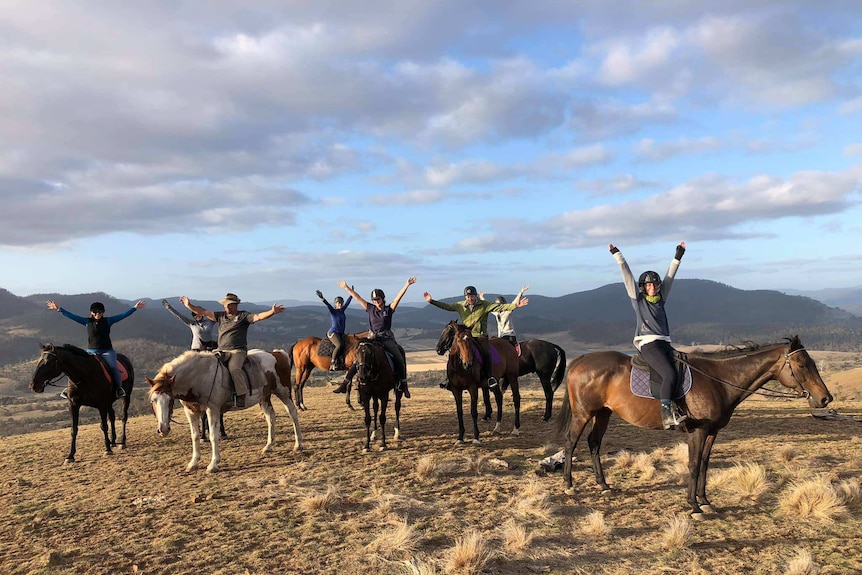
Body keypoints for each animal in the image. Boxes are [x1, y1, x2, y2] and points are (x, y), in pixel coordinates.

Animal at [143, 348, 302, 474]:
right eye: (153, 401)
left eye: (169, 399)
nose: (163, 429)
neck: (199, 377)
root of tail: (277, 354)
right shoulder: (191, 412)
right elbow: (195, 436)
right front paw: (193, 463)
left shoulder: (212, 409)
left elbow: (214, 436)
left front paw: (213, 464)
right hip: (264, 398)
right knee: (271, 417)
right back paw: (268, 446)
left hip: (283, 392)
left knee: (292, 413)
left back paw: (298, 444)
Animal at [556, 336, 832, 520]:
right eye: (803, 365)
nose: (825, 399)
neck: (719, 380)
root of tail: (580, 360)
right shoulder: (697, 432)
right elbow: (694, 464)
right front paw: (694, 506)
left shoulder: (712, 432)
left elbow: (705, 465)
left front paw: (705, 501)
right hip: (583, 414)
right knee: (570, 442)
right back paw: (569, 485)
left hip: (603, 413)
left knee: (594, 443)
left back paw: (603, 485)